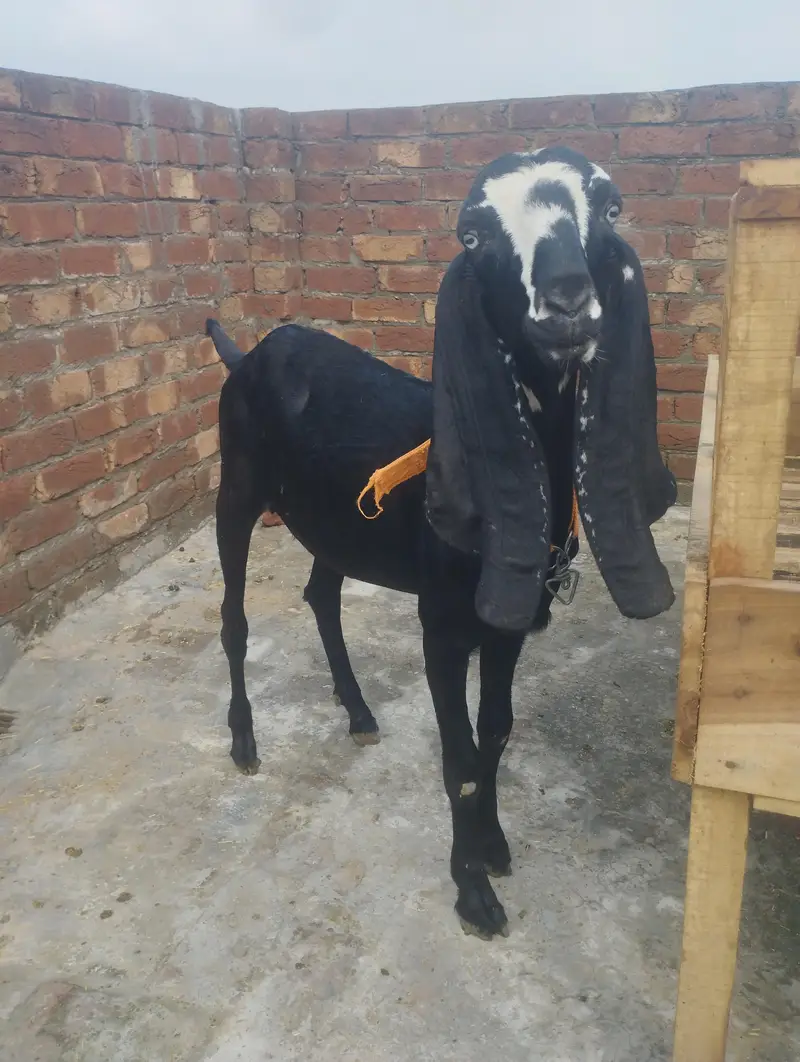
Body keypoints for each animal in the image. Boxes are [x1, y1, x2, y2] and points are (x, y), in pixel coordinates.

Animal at [206, 146, 677, 940]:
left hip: (333, 520)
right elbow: (457, 755)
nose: (567, 302)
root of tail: (248, 355)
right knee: (234, 618)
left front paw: (493, 844)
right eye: (473, 234)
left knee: (320, 594)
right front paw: (473, 891)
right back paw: (244, 740)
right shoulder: (442, 628)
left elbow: (496, 731)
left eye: (611, 209)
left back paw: (358, 711)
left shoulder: (507, 625)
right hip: (235, 491)